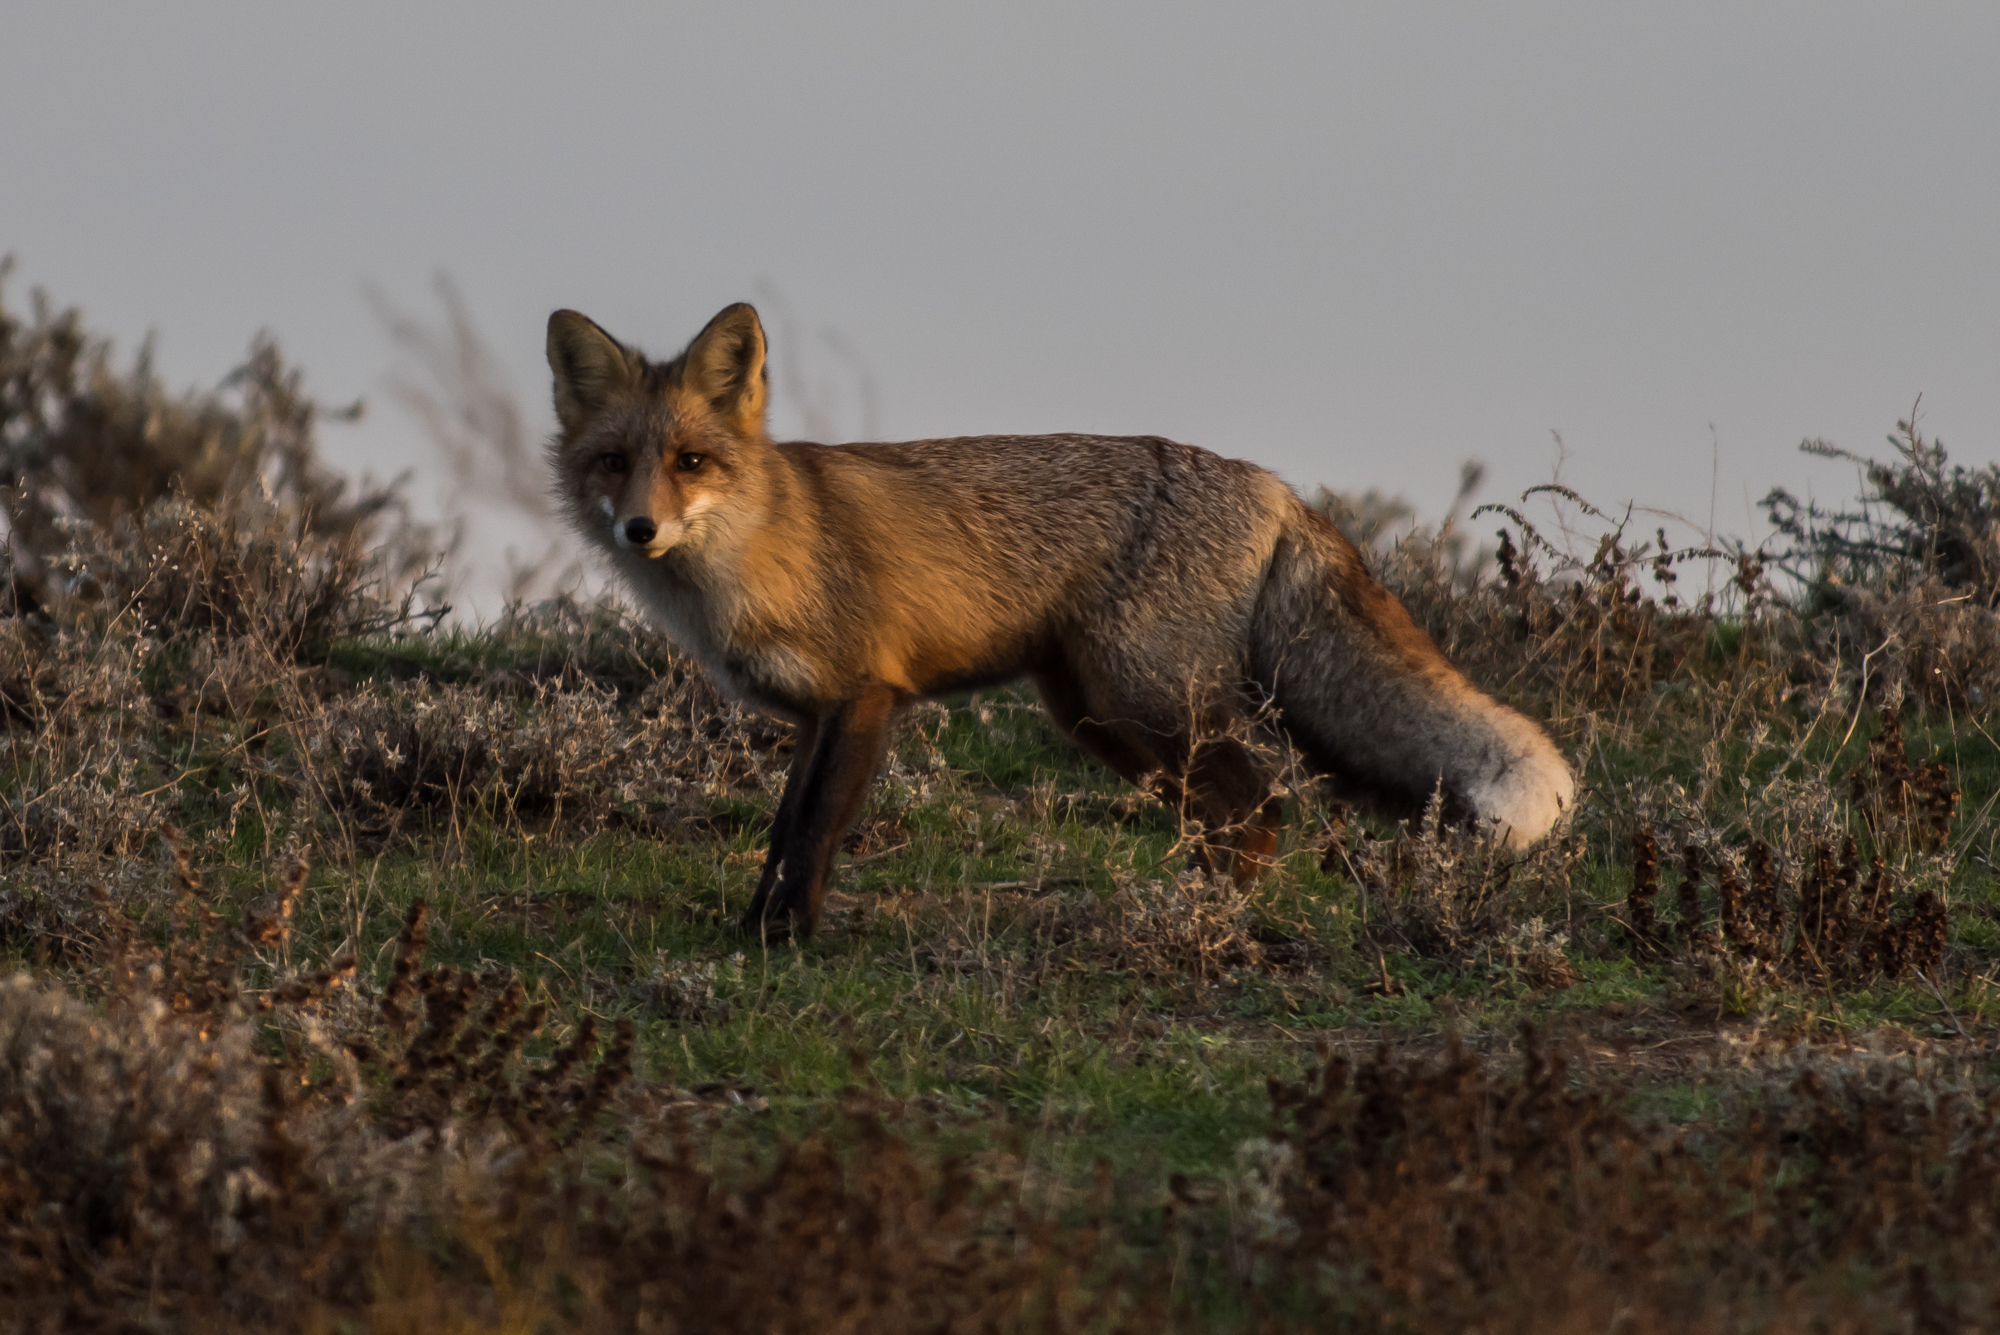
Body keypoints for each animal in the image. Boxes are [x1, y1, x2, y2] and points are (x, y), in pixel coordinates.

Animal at [544, 301, 1560, 939]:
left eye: (691, 460)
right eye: (613, 462)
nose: (639, 529)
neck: (753, 552)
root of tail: (1270, 482)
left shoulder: (866, 694)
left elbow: (816, 832)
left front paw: (784, 943)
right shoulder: (807, 716)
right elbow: (780, 832)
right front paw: (754, 928)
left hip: (1145, 696)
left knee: (1261, 809)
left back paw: (1206, 923)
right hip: (1097, 713)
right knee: (1231, 818)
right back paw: (1188, 910)